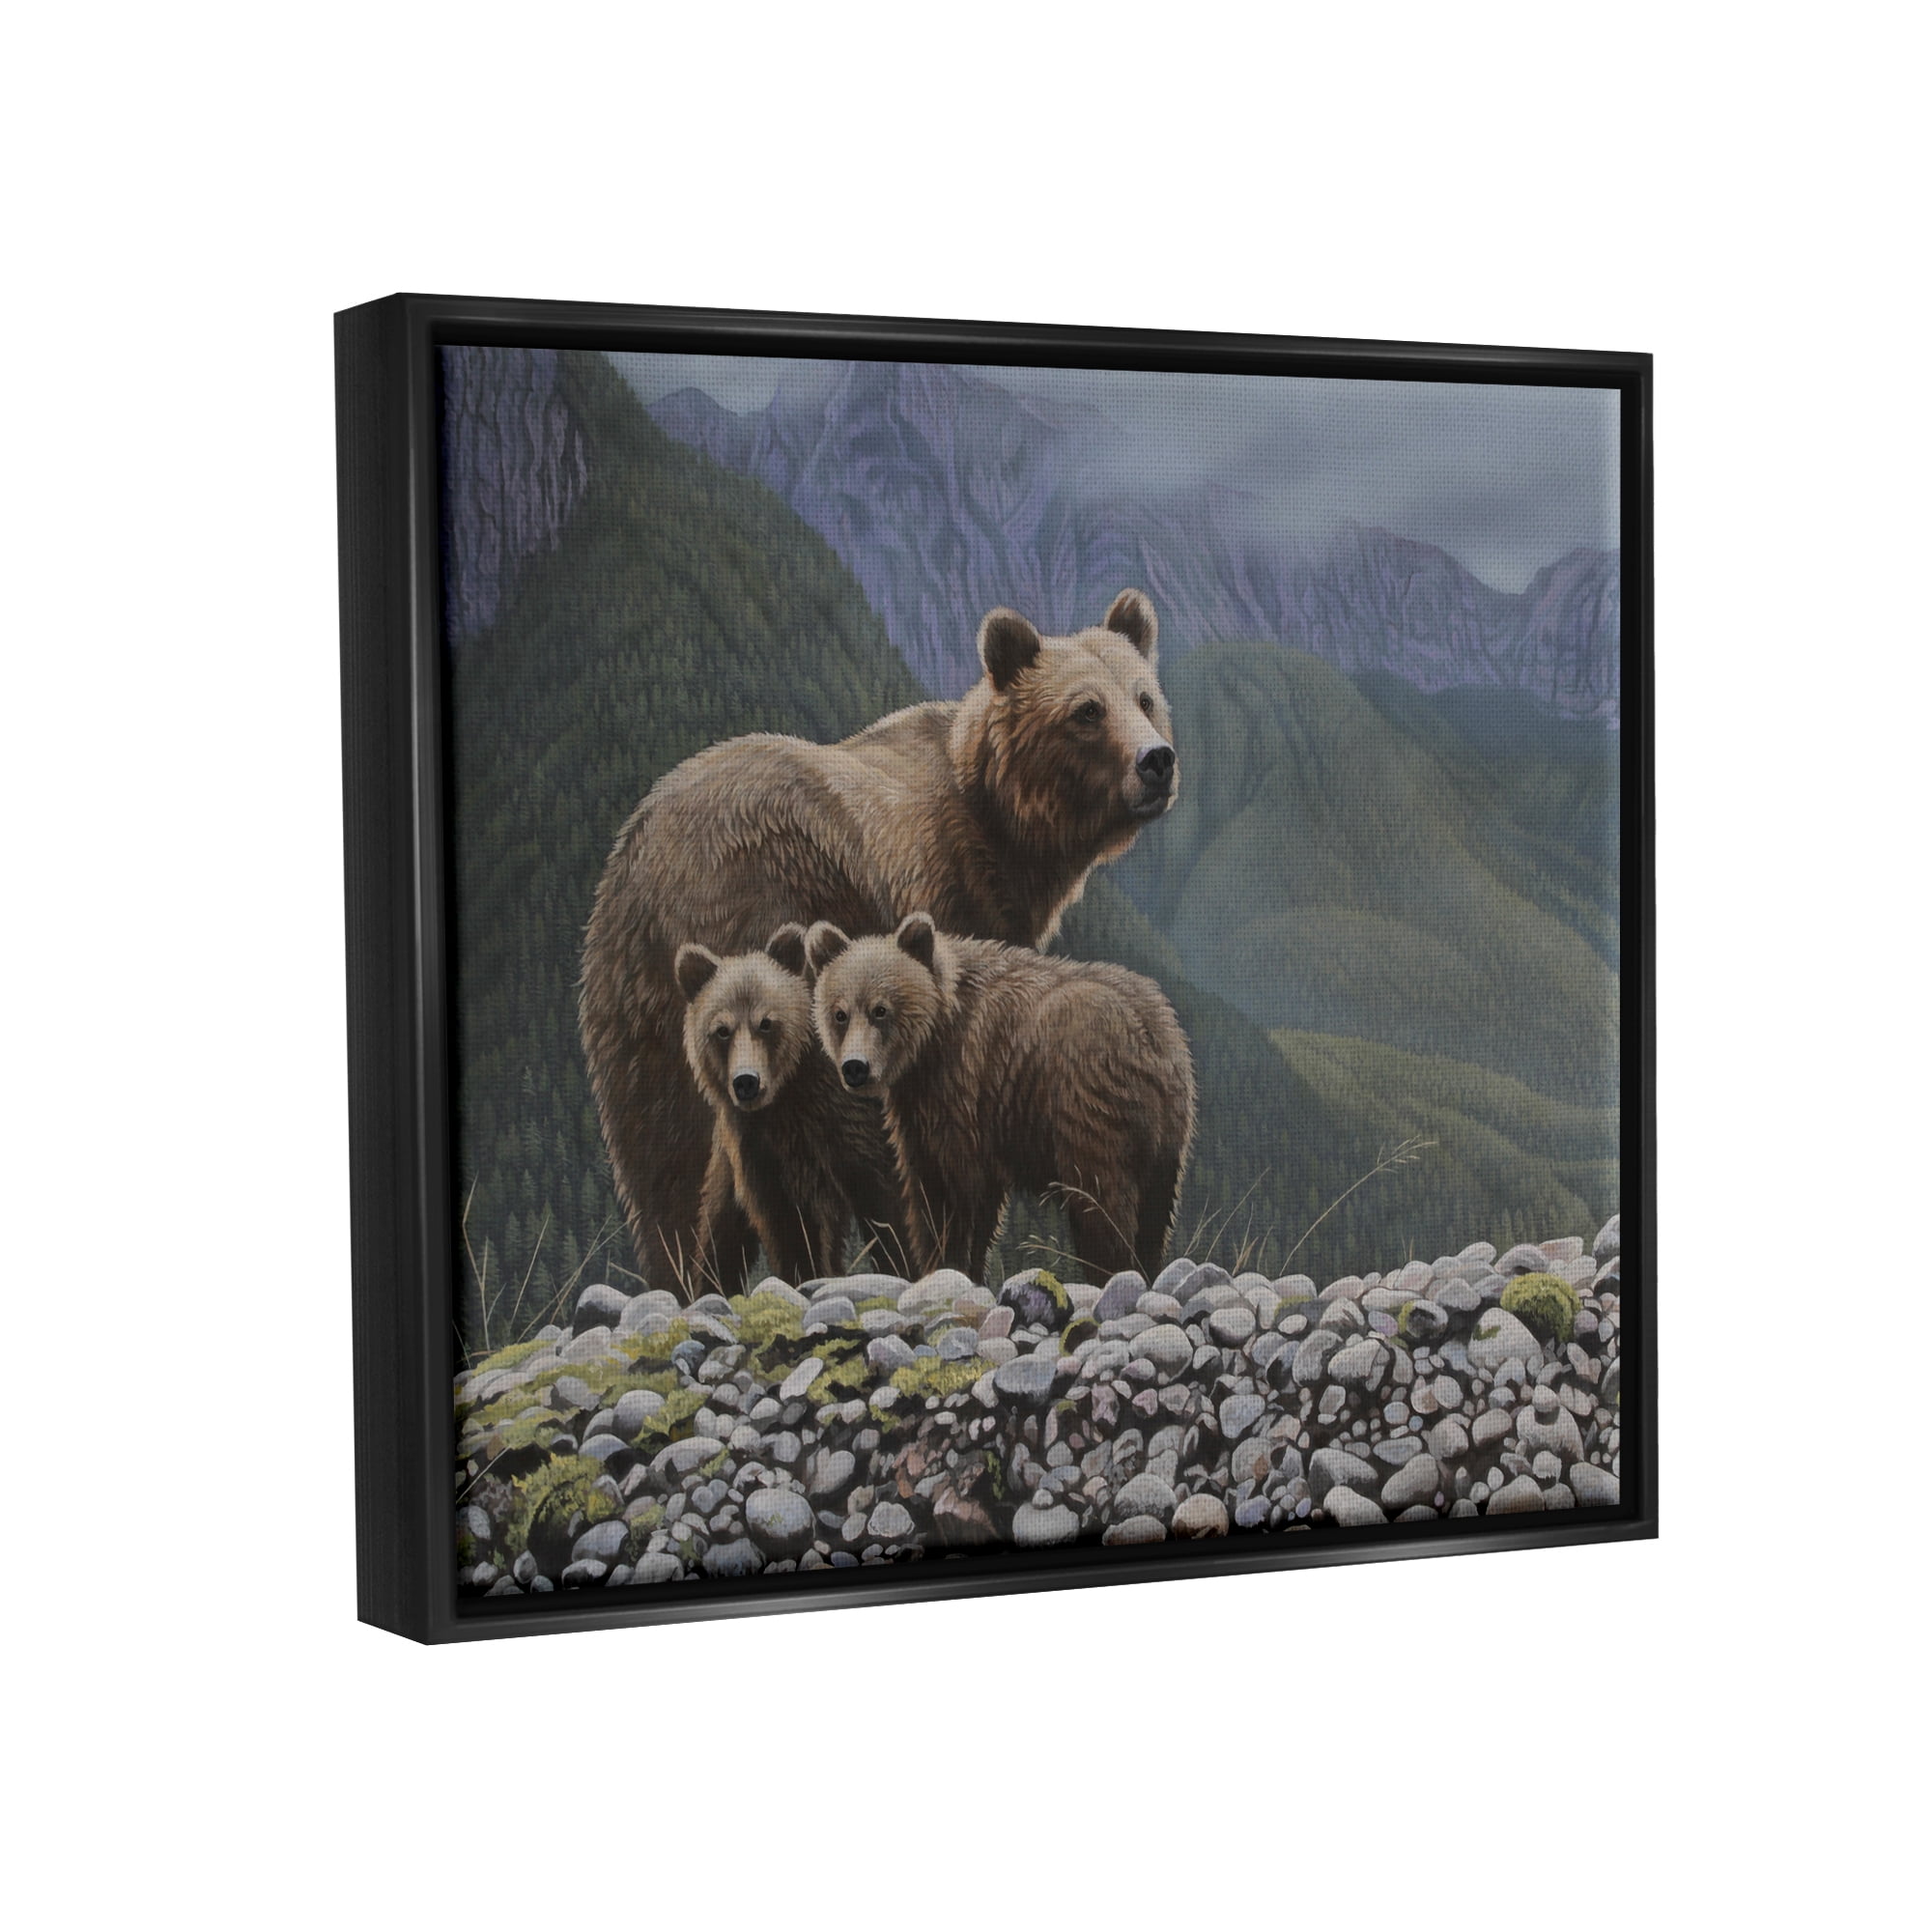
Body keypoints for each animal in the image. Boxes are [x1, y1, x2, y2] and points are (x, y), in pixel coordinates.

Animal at [675, 925, 912, 1290]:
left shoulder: (848, 1127)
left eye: (766, 1022)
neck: (786, 1098)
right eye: (722, 1030)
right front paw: (803, 1276)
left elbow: (887, 1205)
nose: (746, 1081)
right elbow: (789, 1228)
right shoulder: (761, 1150)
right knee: (719, 1230)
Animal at [805, 912, 1196, 1287]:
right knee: (1153, 1217)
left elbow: (950, 1188)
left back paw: (1109, 1272)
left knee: (1100, 1203)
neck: (932, 1038)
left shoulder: (960, 1086)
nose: (855, 1068)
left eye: (881, 1010)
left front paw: (948, 1263)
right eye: (839, 1014)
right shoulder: (944, 1109)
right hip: (1164, 1139)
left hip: (1087, 1104)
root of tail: (1148, 1035)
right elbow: (955, 1194)